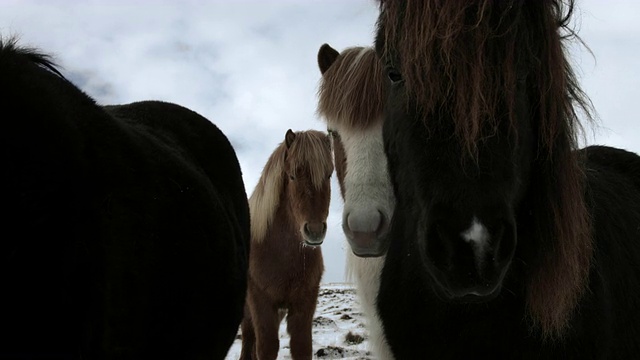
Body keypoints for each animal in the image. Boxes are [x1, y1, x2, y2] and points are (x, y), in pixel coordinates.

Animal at [238, 129, 332, 360]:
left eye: (328, 175)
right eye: (292, 176)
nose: (314, 231)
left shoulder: (304, 304)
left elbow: (301, 347)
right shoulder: (261, 304)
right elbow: (266, 347)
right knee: (248, 338)